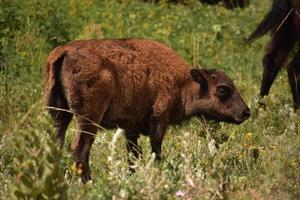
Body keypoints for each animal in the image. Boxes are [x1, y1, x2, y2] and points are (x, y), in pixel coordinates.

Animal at [44, 38, 251, 182]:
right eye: (222, 89)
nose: (246, 112)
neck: (183, 82)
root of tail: (65, 51)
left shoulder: (130, 127)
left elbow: (133, 154)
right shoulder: (159, 120)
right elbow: (155, 150)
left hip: (59, 115)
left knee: (56, 142)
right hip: (88, 118)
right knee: (80, 147)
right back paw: (88, 182)